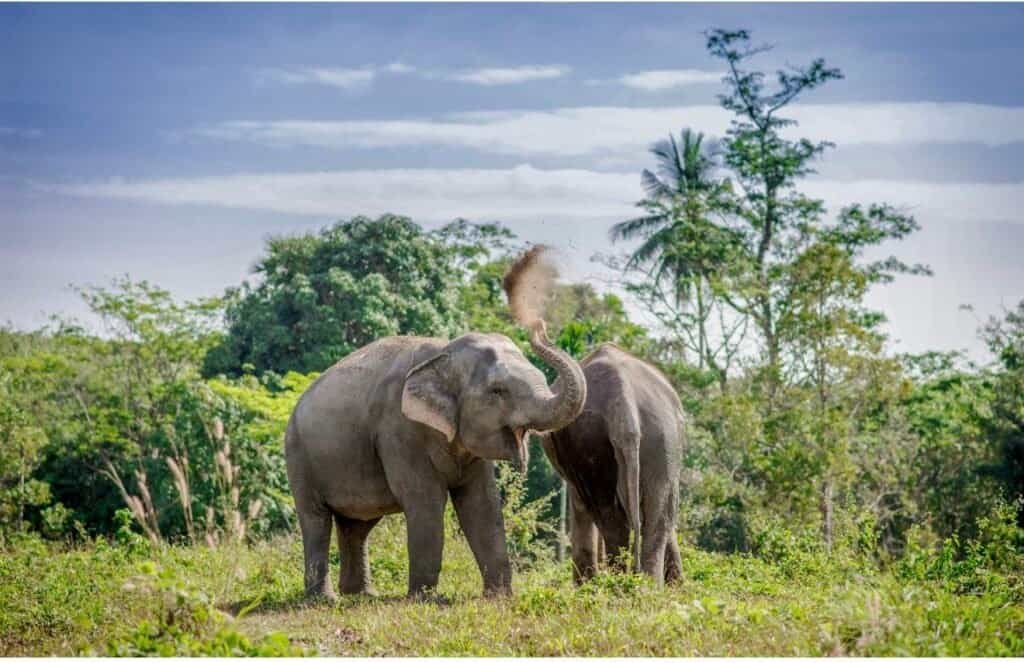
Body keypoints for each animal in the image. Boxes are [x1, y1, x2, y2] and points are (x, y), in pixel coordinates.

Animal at [284, 321, 586, 600]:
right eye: (498, 391)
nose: (539, 326)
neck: (443, 353)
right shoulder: (399, 431)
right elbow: (426, 500)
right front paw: (425, 598)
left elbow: (482, 504)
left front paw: (499, 596)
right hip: (299, 457)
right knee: (316, 520)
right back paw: (325, 599)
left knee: (357, 526)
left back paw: (362, 594)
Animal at [541, 342, 684, 585]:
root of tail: (622, 401)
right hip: (661, 438)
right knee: (656, 518)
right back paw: (642, 587)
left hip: (597, 440)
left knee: (611, 517)